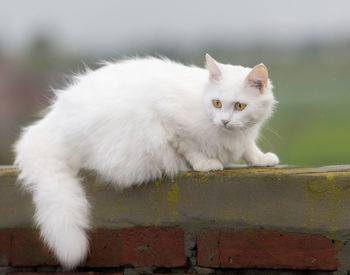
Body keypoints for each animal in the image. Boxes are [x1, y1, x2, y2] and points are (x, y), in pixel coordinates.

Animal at [14, 54, 278, 270]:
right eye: (217, 103)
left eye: (240, 106)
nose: (224, 121)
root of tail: (47, 126)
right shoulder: (169, 122)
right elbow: (190, 147)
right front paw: (206, 163)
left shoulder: (244, 136)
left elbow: (248, 148)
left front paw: (261, 159)